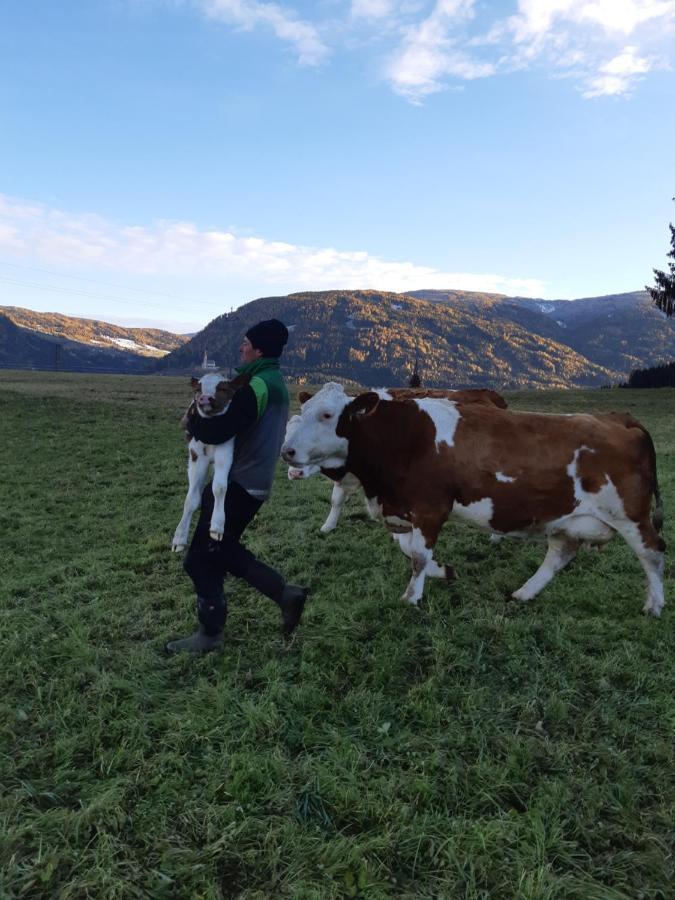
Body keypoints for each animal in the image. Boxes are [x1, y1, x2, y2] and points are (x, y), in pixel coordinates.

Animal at [172, 370, 251, 552]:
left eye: (222, 389)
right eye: (198, 390)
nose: (204, 398)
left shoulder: (225, 451)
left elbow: (219, 487)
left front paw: (217, 525)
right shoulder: (195, 455)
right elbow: (191, 498)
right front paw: (179, 537)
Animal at [282, 384, 664, 616]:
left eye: (327, 415)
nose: (287, 452)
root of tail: (619, 418)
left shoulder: (431, 507)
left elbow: (417, 556)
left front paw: (412, 596)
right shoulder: (402, 508)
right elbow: (408, 549)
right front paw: (443, 571)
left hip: (629, 514)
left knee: (652, 553)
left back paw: (654, 605)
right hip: (566, 518)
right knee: (559, 554)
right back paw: (524, 593)